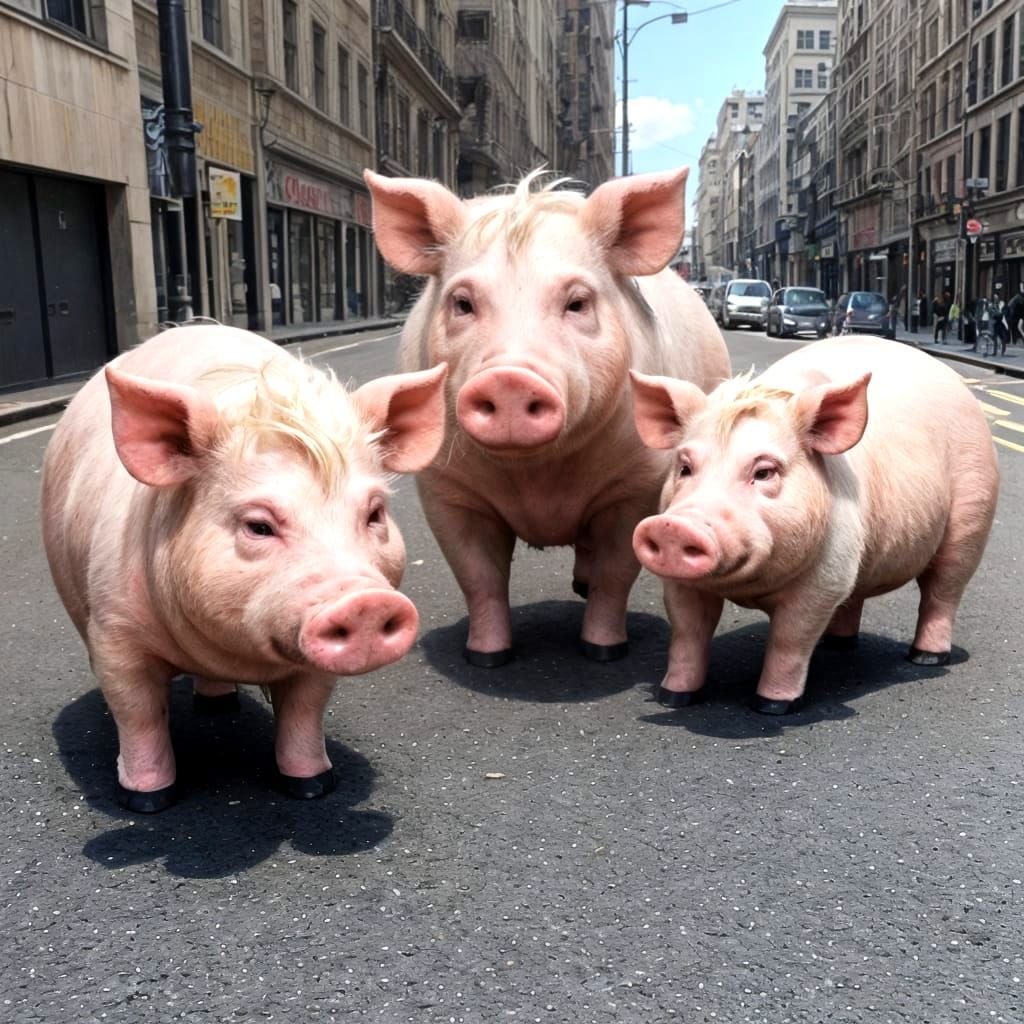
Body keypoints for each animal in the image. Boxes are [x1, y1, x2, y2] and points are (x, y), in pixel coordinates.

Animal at [41, 324, 447, 811]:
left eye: (374, 513)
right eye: (259, 525)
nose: (365, 601)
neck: (235, 656)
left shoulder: (310, 663)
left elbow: (304, 711)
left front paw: (313, 786)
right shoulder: (114, 633)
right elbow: (138, 713)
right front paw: (147, 801)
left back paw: (220, 706)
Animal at [364, 167, 730, 666]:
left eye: (577, 303)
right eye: (463, 303)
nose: (510, 379)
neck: (538, 479)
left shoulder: (637, 483)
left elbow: (617, 572)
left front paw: (603, 651)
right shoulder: (445, 489)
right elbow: (478, 576)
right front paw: (486, 657)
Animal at [630, 335, 999, 714]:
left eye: (764, 471)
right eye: (685, 467)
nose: (674, 526)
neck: (751, 586)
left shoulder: (825, 578)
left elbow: (789, 640)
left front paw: (771, 706)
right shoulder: (680, 583)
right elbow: (688, 630)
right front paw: (672, 698)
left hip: (974, 510)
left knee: (943, 589)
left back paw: (926, 658)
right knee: (858, 596)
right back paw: (837, 645)